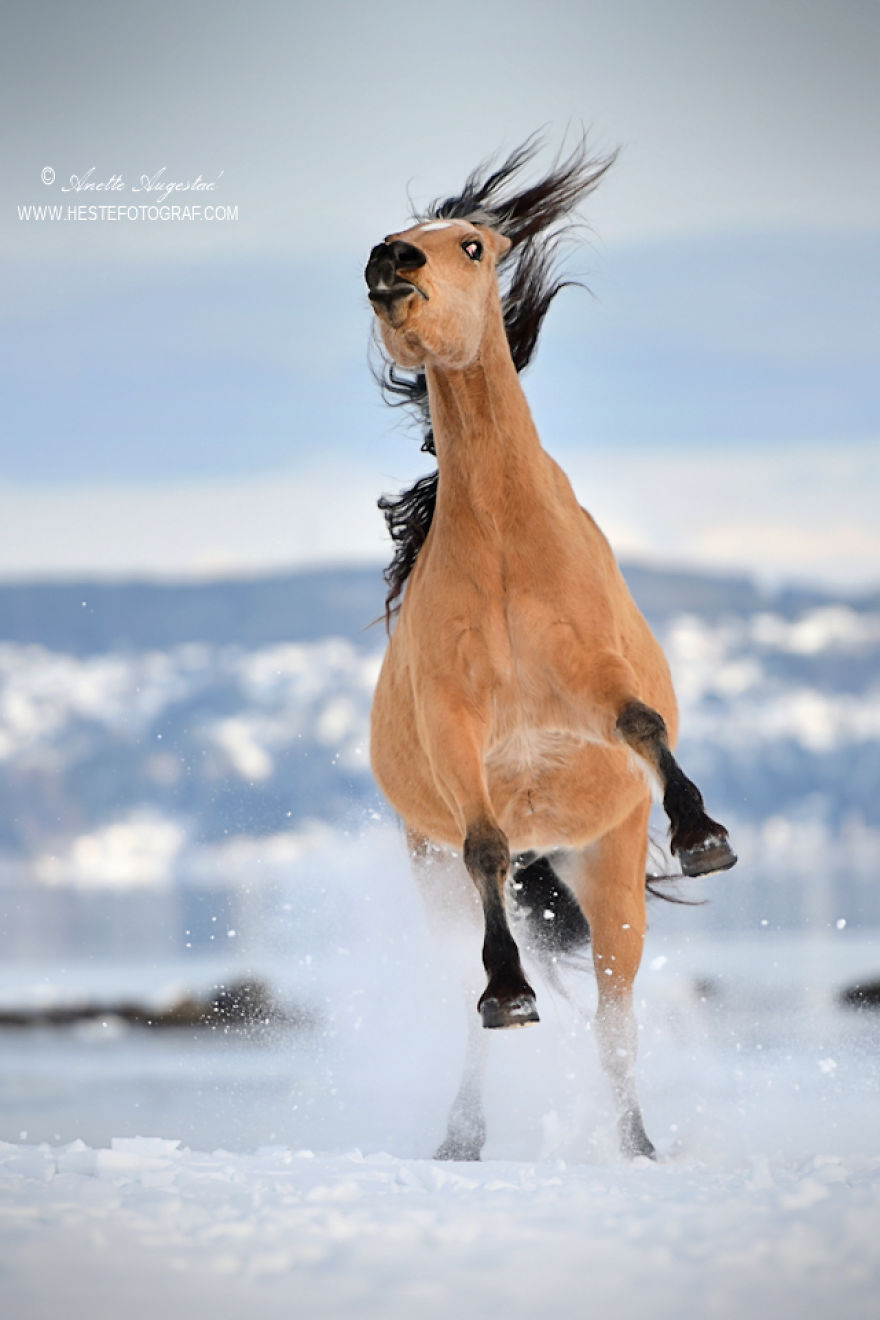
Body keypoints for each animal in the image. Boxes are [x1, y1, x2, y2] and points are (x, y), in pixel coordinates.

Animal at [364, 136, 736, 1161]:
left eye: (472, 244)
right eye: (399, 237)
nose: (389, 265)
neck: (502, 548)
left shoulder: (594, 679)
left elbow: (645, 722)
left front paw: (705, 836)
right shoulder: (457, 733)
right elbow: (487, 845)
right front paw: (511, 992)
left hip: (606, 870)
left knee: (615, 1018)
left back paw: (638, 1146)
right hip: (439, 877)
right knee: (476, 993)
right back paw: (463, 1131)